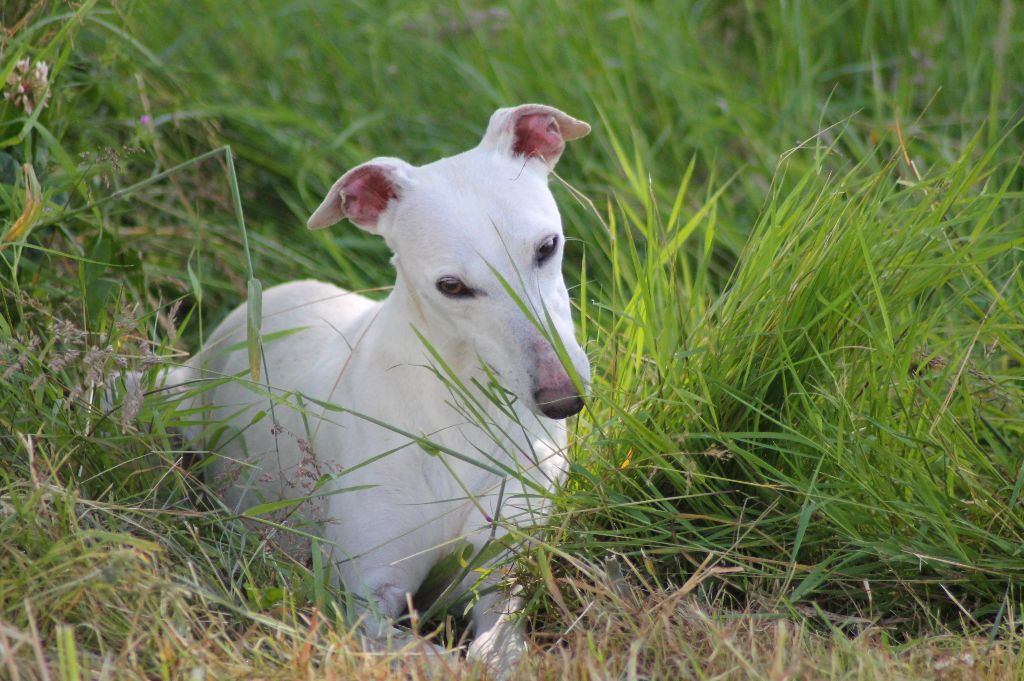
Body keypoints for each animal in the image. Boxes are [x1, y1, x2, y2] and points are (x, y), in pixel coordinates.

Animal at [168, 102, 593, 667]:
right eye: (451, 286)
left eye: (547, 247)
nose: (562, 400)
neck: (462, 418)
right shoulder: (363, 603)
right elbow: (430, 657)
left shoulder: (503, 570)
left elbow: (500, 644)